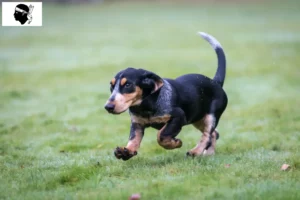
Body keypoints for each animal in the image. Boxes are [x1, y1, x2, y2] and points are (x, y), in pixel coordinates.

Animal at [103, 32, 227, 161]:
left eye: (127, 85)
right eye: (111, 86)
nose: (108, 107)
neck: (146, 105)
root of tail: (215, 82)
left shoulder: (179, 116)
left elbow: (161, 135)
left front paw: (175, 143)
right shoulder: (137, 123)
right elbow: (134, 139)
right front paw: (126, 152)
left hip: (210, 116)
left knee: (207, 135)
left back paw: (195, 152)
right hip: (197, 117)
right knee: (214, 134)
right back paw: (209, 153)